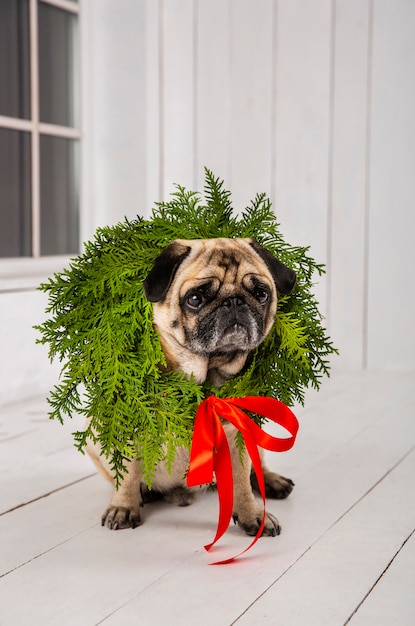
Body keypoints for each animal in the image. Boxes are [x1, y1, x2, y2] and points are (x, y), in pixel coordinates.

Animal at [86, 238, 298, 536]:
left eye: (260, 293)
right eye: (195, 299)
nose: (234, 301)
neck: (206, 375)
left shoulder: (238, 436)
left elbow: (242, 479)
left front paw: (253, 514)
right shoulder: (129, 426)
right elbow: (126, 473)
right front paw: (123, 507)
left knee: (257, 467)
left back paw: (269, 481)